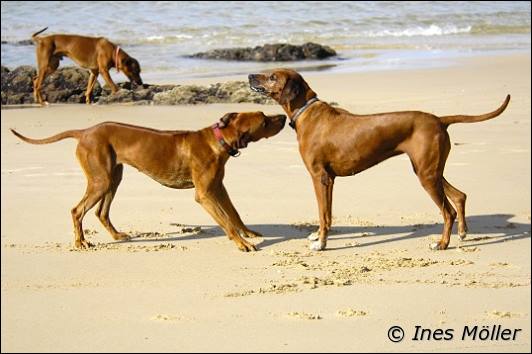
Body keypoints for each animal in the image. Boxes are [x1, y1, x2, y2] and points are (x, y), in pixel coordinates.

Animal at [11, 112, 286, 250]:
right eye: (265, 120)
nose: (283, 117)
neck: (217, 139)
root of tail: (85, 131)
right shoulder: (205, 195)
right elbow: (226, 221)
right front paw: (241, 242)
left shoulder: (219, 188)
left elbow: (234, 213)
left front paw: (248, 232)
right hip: (101, 180)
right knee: (77, 210)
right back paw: (80, 242)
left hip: (113, 178)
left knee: (101, 212)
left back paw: (116, 235)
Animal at [249, 68, 512, 252]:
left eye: (272, 76)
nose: (250, 75)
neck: (306, 110)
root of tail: (439, 119)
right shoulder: (329, 180)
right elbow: (327, 213)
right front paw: (317, 235)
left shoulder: (319, 177)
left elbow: (323, 213)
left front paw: (321, 243)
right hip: (429, 170)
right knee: (459, 196)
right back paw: (463, 233)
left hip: (427, 175)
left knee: (448, 212)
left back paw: (442, 244)